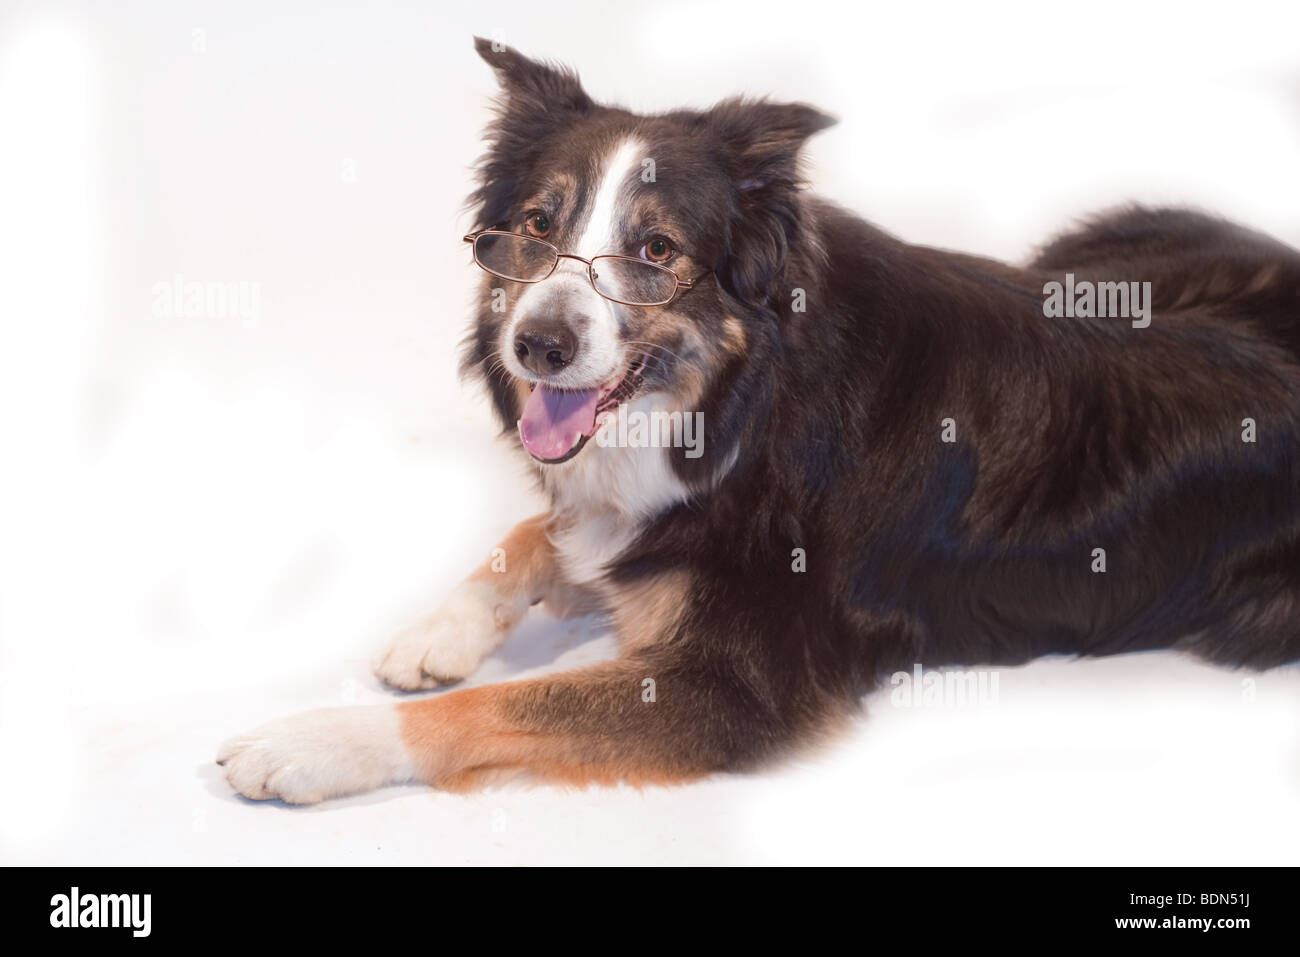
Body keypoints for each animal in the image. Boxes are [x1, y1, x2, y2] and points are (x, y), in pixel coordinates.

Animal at [218, 39, 1300, 800]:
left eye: (655, 249)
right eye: (537, 226)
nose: (538, 346)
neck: (743, 399)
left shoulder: (740, 687)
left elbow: (504, 700)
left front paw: (313, 739)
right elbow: (541, 531)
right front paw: (436, 631)